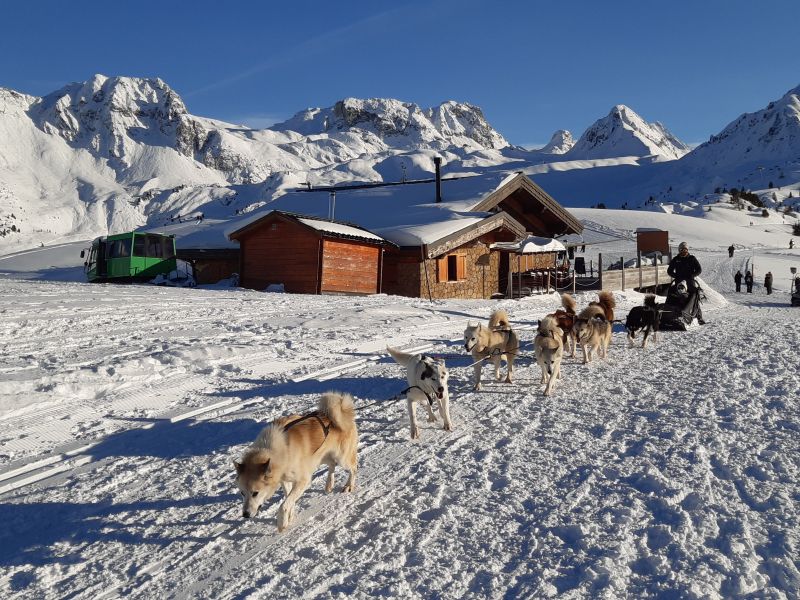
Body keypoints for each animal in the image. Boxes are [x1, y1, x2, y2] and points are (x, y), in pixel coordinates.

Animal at [231, 392, 356, 532]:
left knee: (353, 468)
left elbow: (284, 504)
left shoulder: (303, 481)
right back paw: (329, 484)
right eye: (242, 493)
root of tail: (341, 410)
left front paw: (281, 522)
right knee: (332, 464)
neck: (278, 451)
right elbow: (289, 499)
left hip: (342, 458)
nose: (245, 515)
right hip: (322, 456)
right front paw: (289, 516)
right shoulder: (285, 480)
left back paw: (349, 485)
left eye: (255, 493)